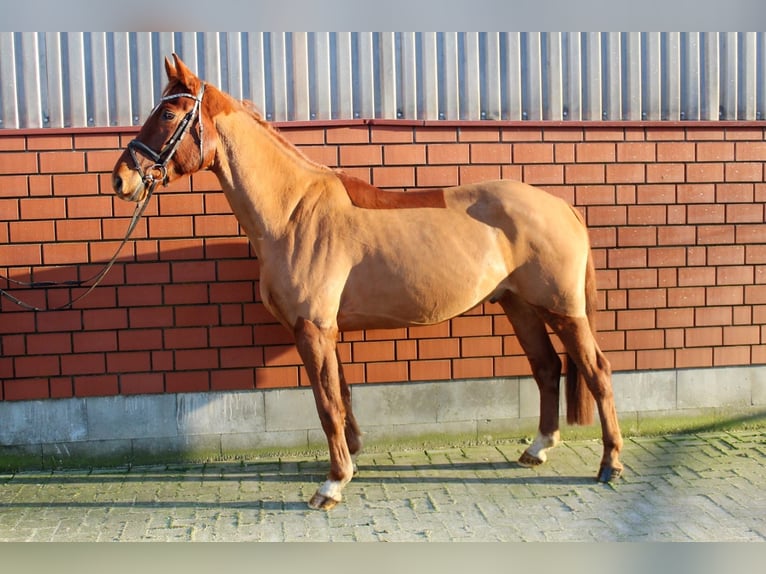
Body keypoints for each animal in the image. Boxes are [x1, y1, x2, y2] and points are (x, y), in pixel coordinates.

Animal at [112, 55, 624, 512]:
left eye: (168, 114)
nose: (121, 179)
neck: (293, 213)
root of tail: (562, 205)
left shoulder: (313, 330)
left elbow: (325, 404)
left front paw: (332, 484)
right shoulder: (326, 331)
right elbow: (341, 395)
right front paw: (352, 458)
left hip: (563, 310)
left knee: (597, 371)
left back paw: (610, 464)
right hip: (518, 305)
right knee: (547, 368)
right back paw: (537, 449)